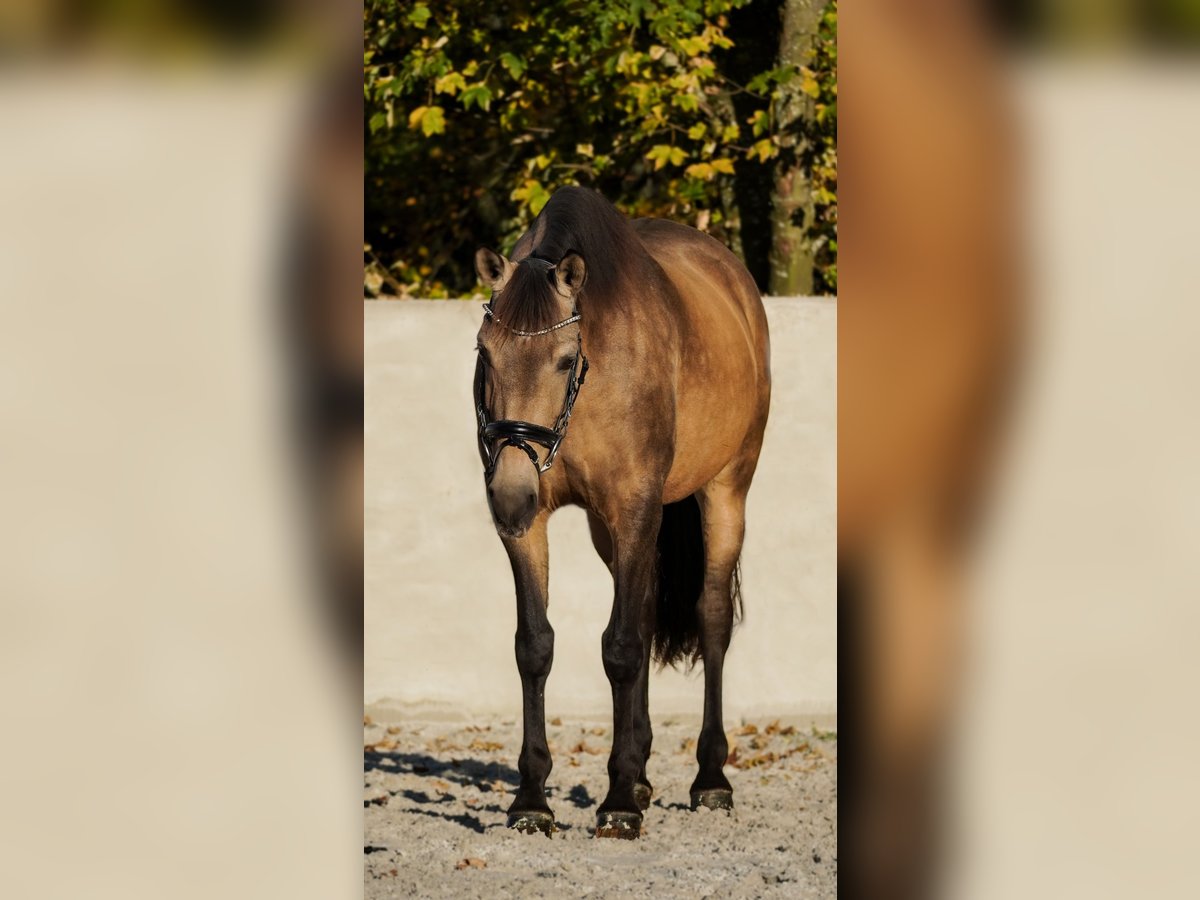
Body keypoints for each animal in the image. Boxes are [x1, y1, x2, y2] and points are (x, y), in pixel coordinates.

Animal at [472, 187, 772, 844]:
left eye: (565, 360)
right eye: (485, 352)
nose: (507, 495)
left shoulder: (635, 507)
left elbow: (623, 648)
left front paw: (616, 804)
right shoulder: (534, 524)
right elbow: (535, 646)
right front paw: (532, 799)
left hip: (727, 491)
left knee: (711, 618)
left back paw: (710, 778)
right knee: (647, 605)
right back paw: (640, 771)